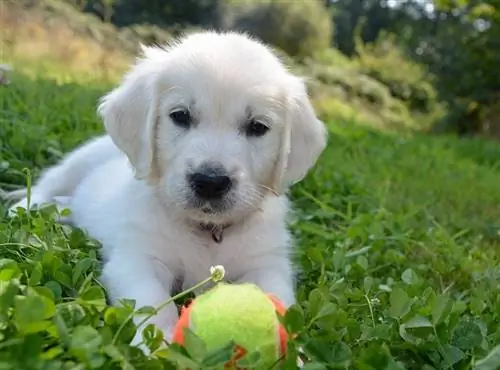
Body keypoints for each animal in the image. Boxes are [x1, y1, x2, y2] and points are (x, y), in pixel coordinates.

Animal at [6, 31, 328, 346]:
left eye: (258, 127)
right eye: (181, 116)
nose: (210, 181)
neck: (208, 231)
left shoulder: (267, 264)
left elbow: (278, 305)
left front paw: (293, 353)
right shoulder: (138, 258)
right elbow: (153, 302)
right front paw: (159, 347)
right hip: (80, 160)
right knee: (46, 186)